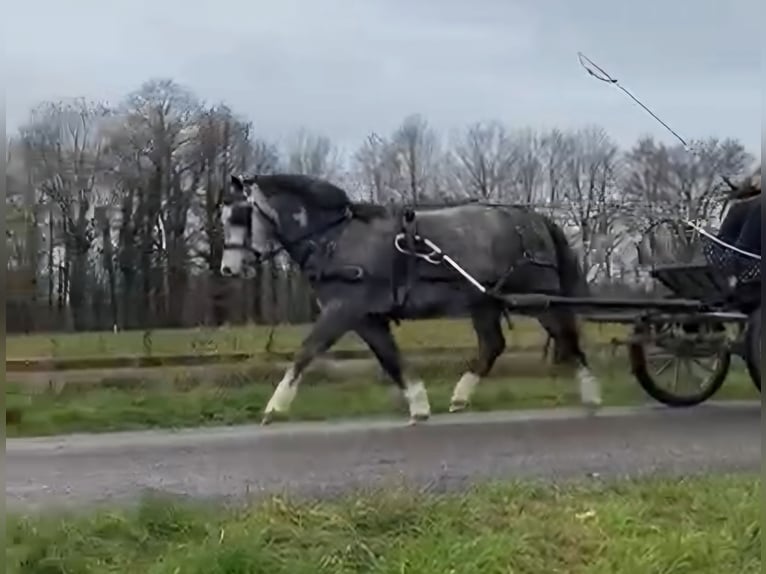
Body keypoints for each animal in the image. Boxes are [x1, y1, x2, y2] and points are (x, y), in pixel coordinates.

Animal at [218, 173, 603, 424]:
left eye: (241, 215)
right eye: (224, 217)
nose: (228, 268)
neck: (335, 238)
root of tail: (532, 217)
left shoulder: (344, 310)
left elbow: (306, 352)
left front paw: (274, 406)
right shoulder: (366, 318)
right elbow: (390, 359)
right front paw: (419, 404)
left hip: (540, 298)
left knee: (567, 338)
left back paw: (592, 395)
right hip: (483, 302)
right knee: (493, 345)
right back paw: (461, 396)